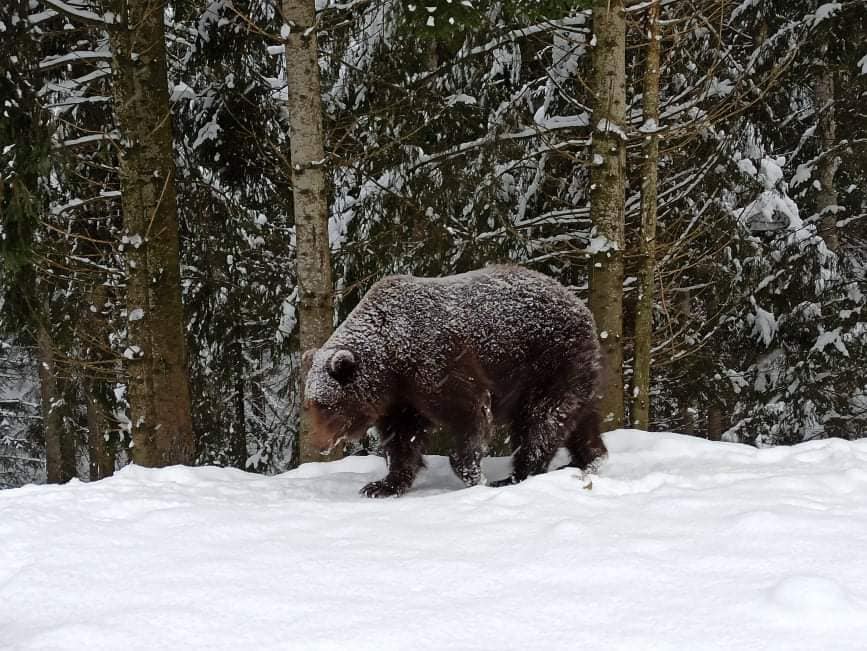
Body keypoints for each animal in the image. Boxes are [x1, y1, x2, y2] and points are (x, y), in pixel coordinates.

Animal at [302, 264, 608, 500]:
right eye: (310, 404)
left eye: (326, 404)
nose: (318, 444)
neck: (392, 357)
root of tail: (580, 305)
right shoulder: (401, 397)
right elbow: (401, 439)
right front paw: (382, 485)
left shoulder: (439, 364)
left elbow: (468, 415)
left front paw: (473, 475)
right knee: (578, 420)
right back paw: (588, 459)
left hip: (549, 362)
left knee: (541, 420)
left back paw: (517, 475)